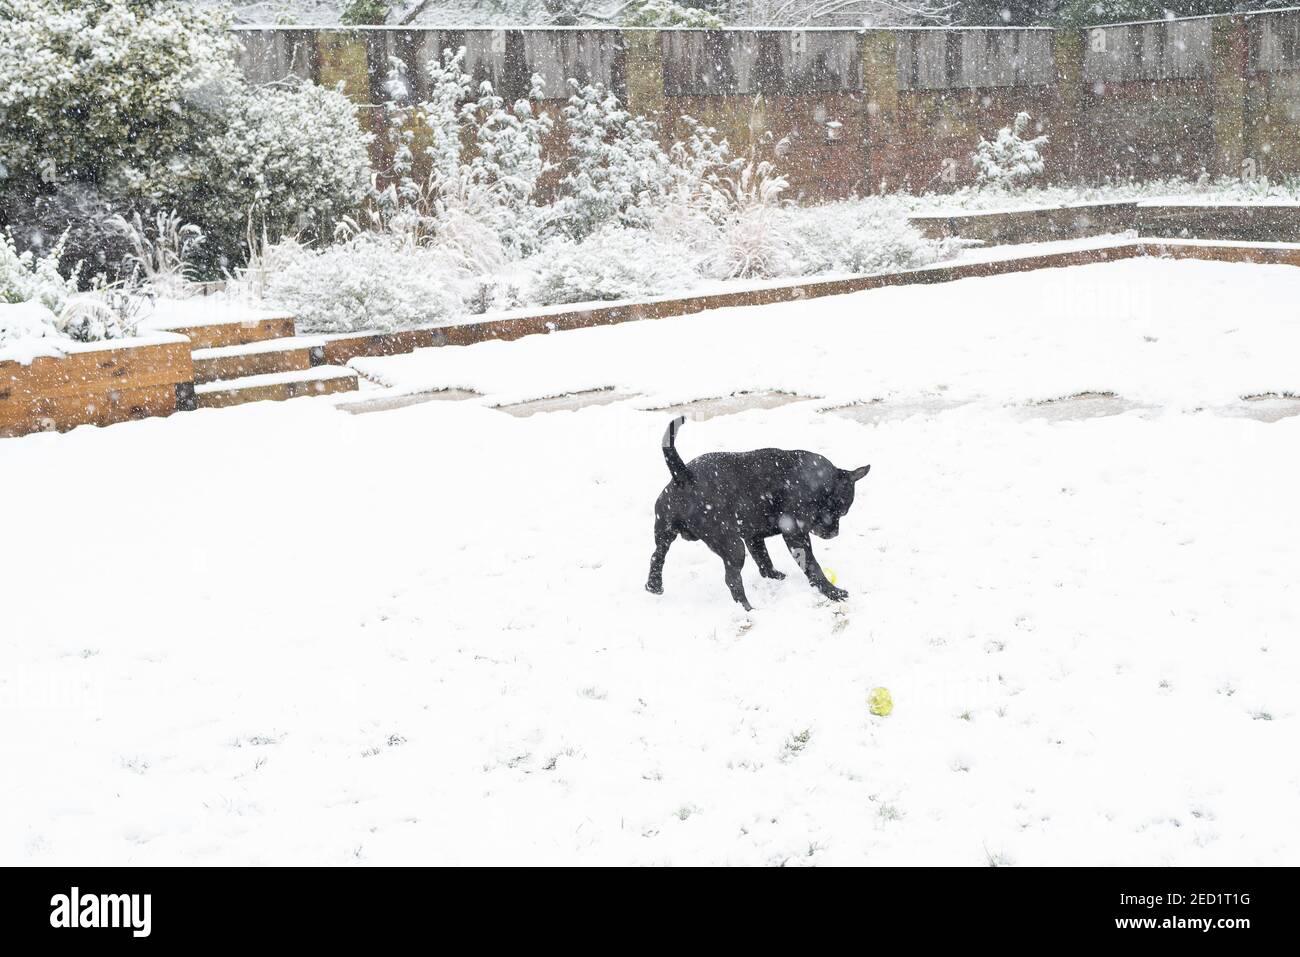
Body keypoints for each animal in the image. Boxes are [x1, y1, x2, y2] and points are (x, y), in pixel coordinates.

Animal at [642, 416, 868, 608]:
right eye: (833, 512)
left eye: (843, 513)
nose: (834, 533)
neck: (810, 482)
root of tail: (684, 476)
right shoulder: (795, 535)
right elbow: (812, 566)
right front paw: (832, 592)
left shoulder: (753, 536)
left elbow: (763, 558)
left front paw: (773, 575)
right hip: (733, 546)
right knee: (732, 579)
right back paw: (747, 608)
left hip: (664, 532)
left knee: (656, 556)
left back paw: (654, 586)